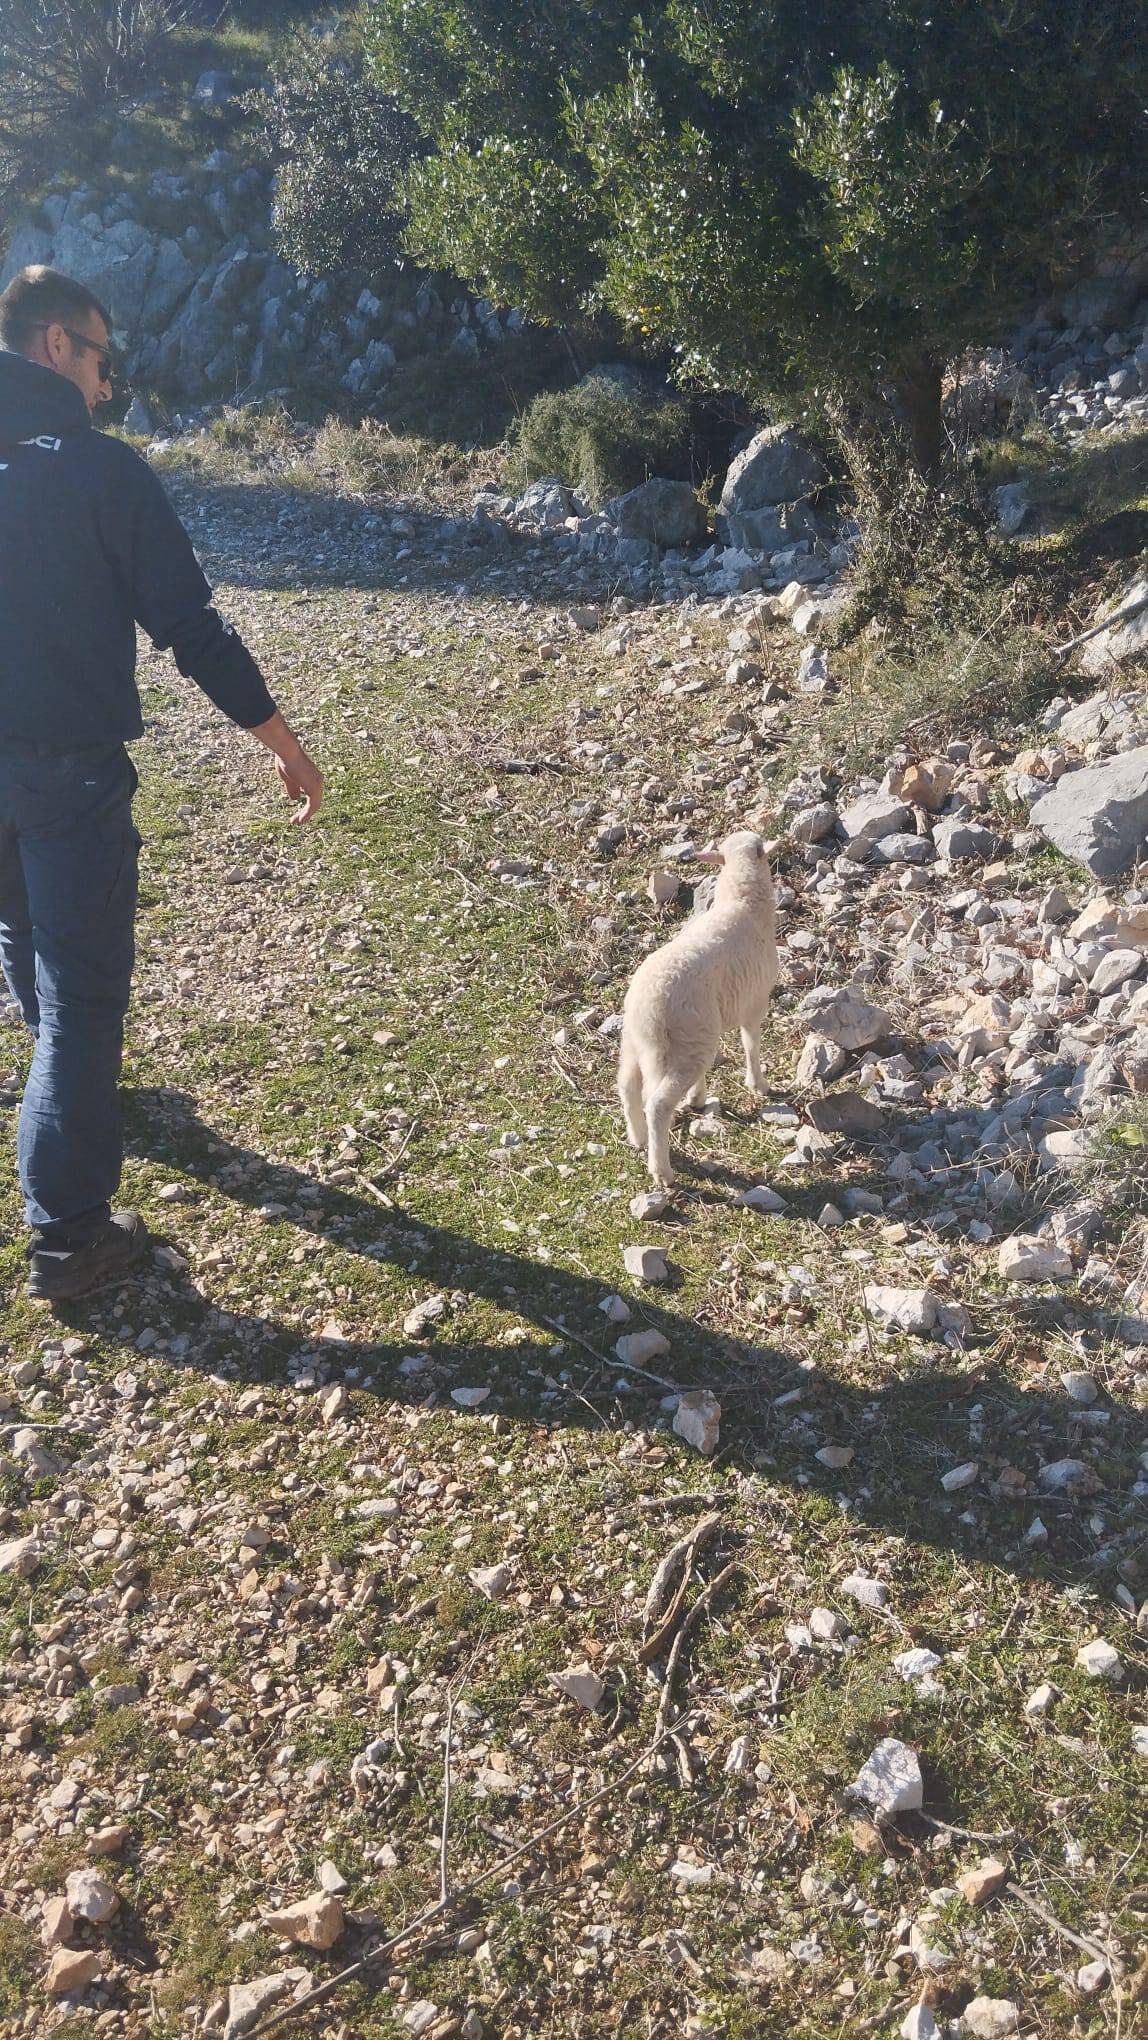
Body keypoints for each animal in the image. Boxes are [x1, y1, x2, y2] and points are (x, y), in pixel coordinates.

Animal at [619, 824, 783, 1191]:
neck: (741, 901)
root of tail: (646, 1011)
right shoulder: (755, 1001)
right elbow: (751, 1043)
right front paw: (759, 1084)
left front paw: (698, 1097)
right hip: (687, 1040)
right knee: (658, 1105)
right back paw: (662, 1171)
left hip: (638, 1042)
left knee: (627, 1085)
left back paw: (638, 1138)